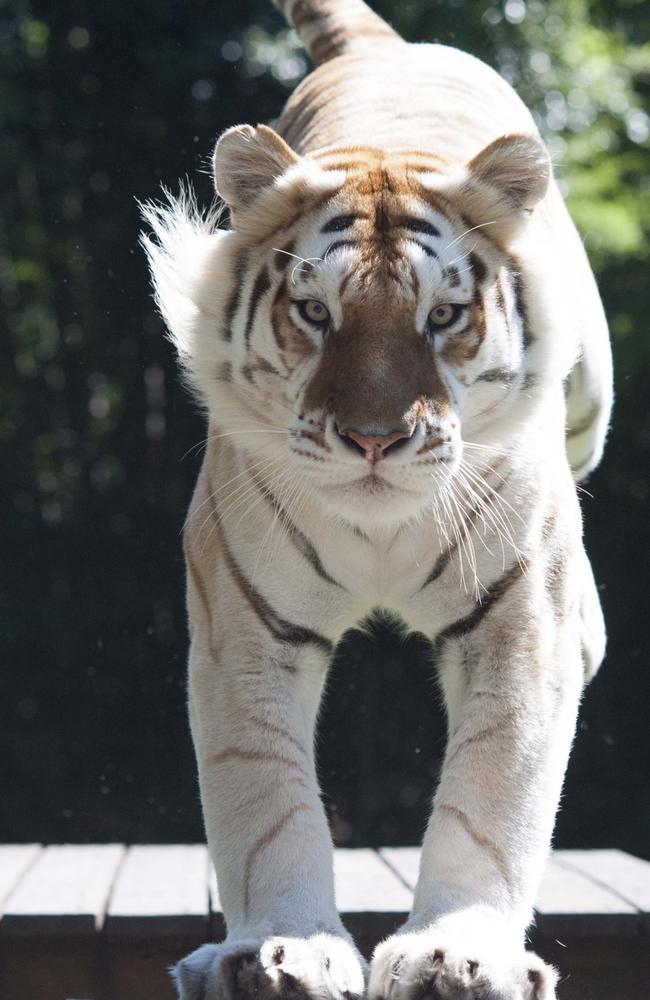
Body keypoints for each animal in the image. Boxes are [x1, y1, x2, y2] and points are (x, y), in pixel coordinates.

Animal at [143, 1, 612, 1000]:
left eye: (443, 317)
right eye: (317, 314)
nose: (372, 440)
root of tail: (379, 46)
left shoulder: (517, 616)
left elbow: (491, 795)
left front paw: (458, 952)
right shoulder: (245, 622)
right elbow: (263, 795)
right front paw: (280, 948)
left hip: (592, 396)